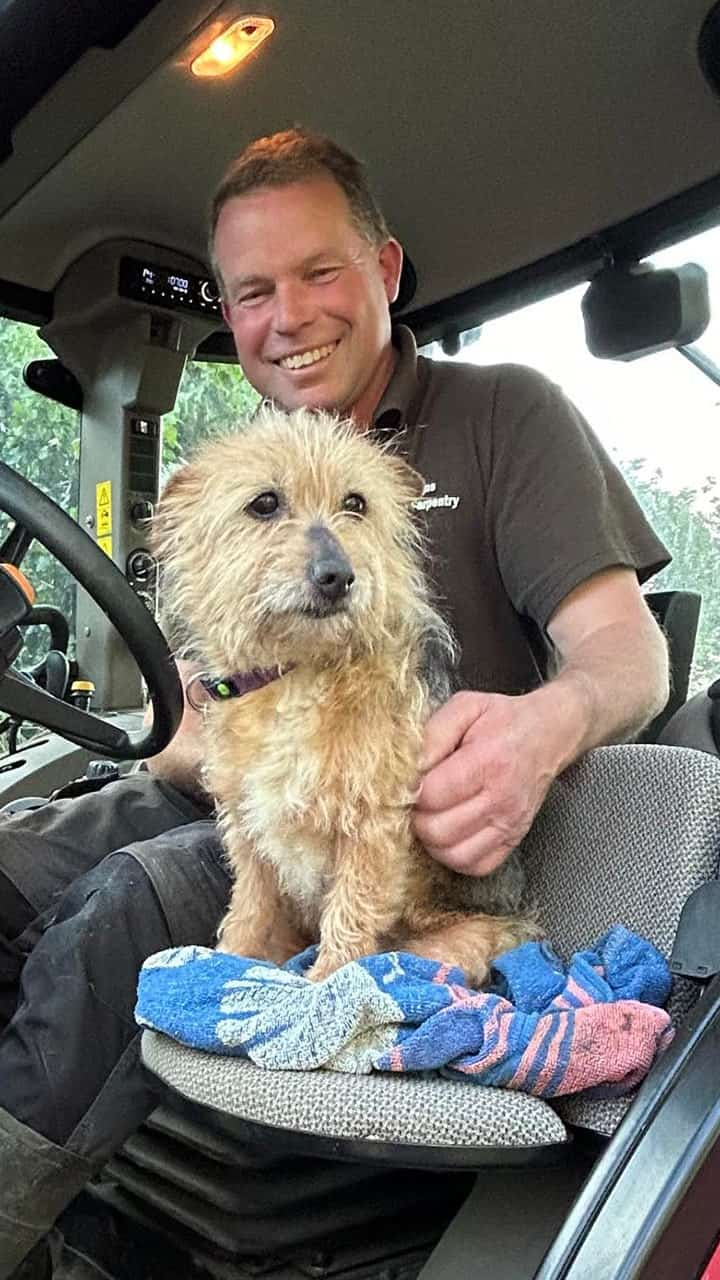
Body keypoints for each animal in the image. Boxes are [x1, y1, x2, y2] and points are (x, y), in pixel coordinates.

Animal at [151, 404, 535, 983]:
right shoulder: (246, 829)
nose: (337, 575)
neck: (298, 675)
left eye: (355, 503)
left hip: (447, 947)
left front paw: (321, 987)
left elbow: (350, 915)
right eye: (265, 503)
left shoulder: (372, 827)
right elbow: (249, 910)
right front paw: (226, 963)